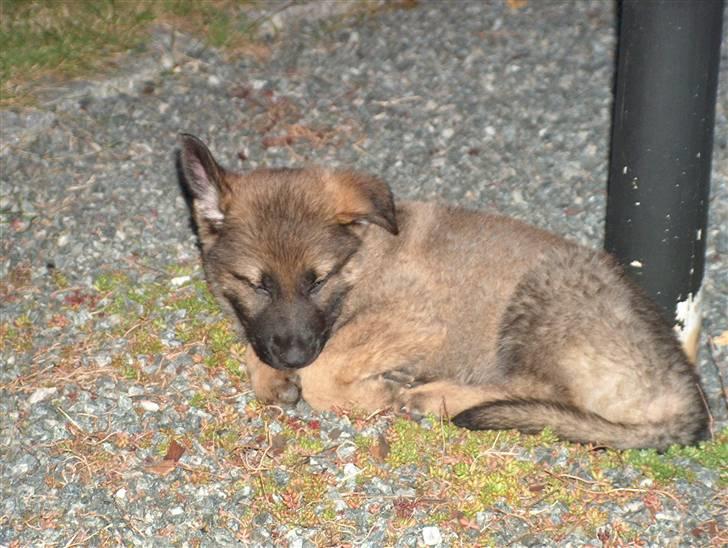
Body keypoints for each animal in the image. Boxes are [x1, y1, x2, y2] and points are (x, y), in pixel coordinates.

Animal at [179, 134, 708, 450]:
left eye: (319, 280)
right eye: (257, 284)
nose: (292, 356)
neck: (365, 261)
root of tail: (685, 399)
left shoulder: (414, 321)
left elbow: (325, 370)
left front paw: (366, 391)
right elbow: (256, 344)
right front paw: (271, 376)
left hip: (545, 298)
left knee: (539, 391)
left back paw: (432, 396)